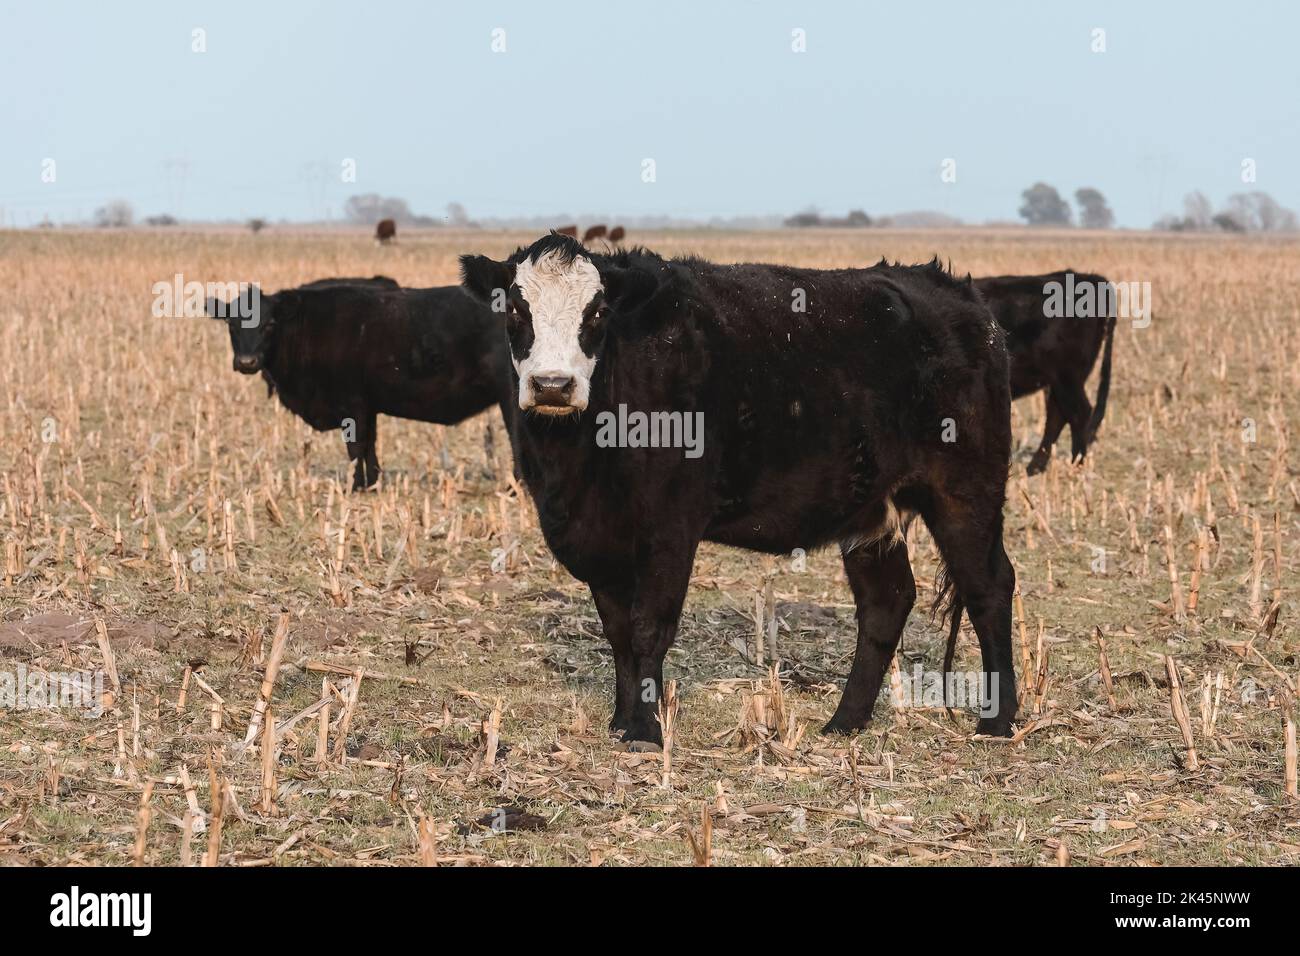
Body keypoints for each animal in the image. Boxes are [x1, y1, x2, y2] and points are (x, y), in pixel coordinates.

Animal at [208, 278, 512, 490]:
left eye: (269, 324)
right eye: (231, 325)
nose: (247, 362)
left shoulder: (351, 404)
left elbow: (356, 447)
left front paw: (355, 486)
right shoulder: (368, 405)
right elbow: (369, 445)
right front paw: (372, 483)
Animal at [461, 234, 1017, 747]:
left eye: (597, 312)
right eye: (516, 309)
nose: (553, 386)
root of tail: (956, 294)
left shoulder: (671, 524)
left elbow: (649, 626)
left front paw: (646, 732)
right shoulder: (599, 538)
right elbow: (617, 632)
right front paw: (621, 720)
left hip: (966, 488)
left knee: (989, 586)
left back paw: (999, 721)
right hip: (870, 507)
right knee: (887, 600)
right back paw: (845, 722)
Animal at [974, 271, 1116, 474]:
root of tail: (1089, 278)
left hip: (1067, 376)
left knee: (1078, 413)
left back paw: (1076, 464)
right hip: (1057, 380)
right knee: (1058, 416)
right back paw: (1036, 467)